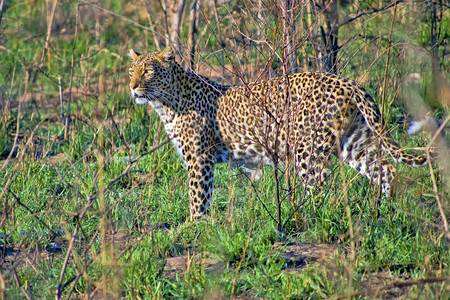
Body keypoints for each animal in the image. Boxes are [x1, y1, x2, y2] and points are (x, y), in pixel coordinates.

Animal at [128, 47, 430, 220]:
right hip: (353, 142)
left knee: (318, 186)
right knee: (386, 169)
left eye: (148, 71)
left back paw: (307, 219)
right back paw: (385, 212)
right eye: (132, 70)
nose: (132, 87)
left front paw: (194, 227)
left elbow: (198, 197)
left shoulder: (200, 159)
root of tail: (347, 82)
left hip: (308, 149)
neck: (165, 104)